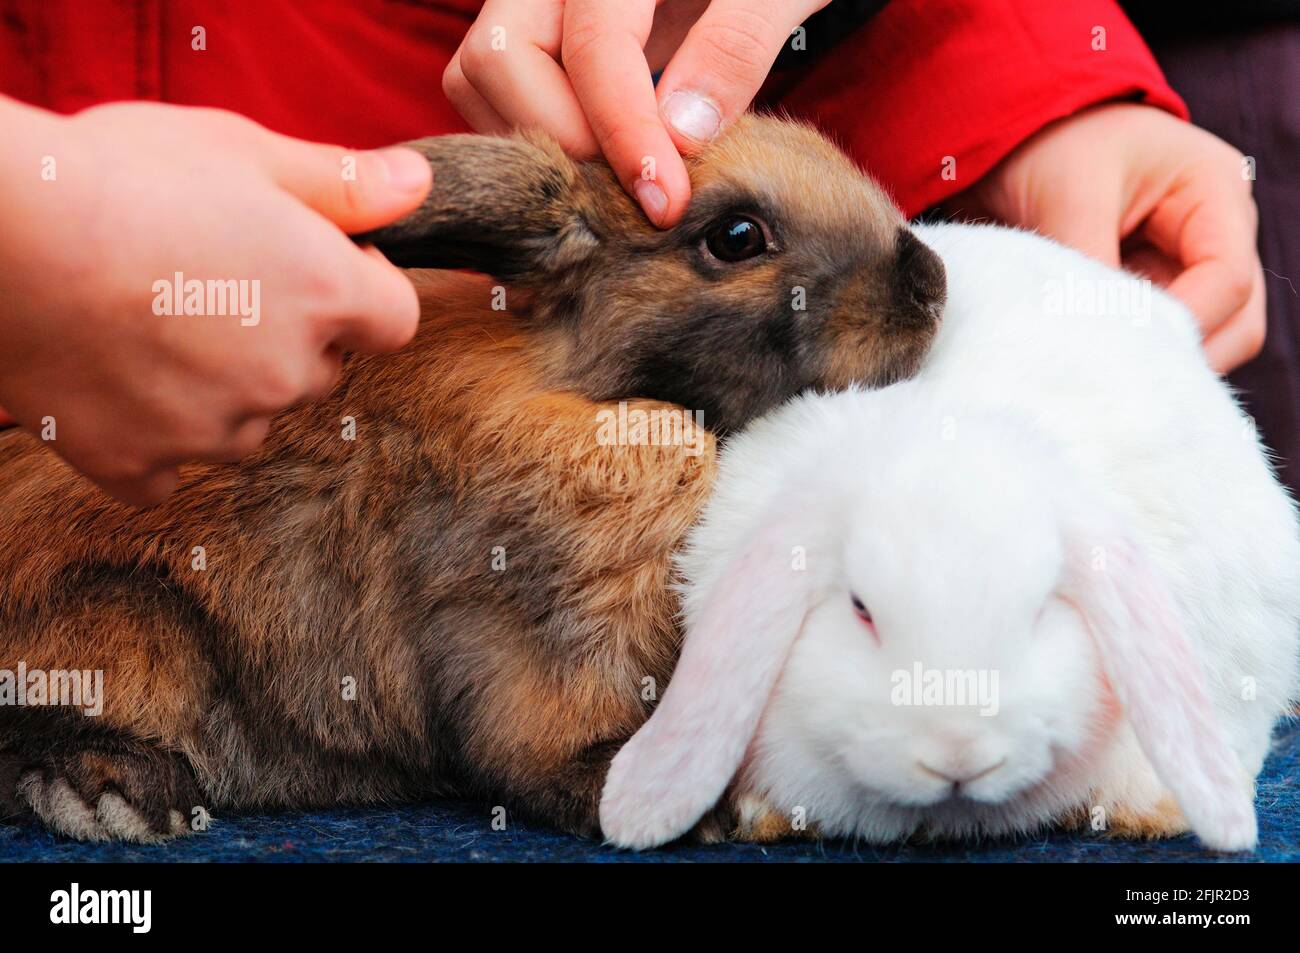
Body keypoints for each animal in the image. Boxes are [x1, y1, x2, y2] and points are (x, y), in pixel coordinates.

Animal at [0, 115, 945, 843]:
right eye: (737, 236)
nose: (930, 284)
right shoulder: (535, 625)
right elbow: (550, 741)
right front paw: (678, 798)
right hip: (125, 626)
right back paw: (120, 793)